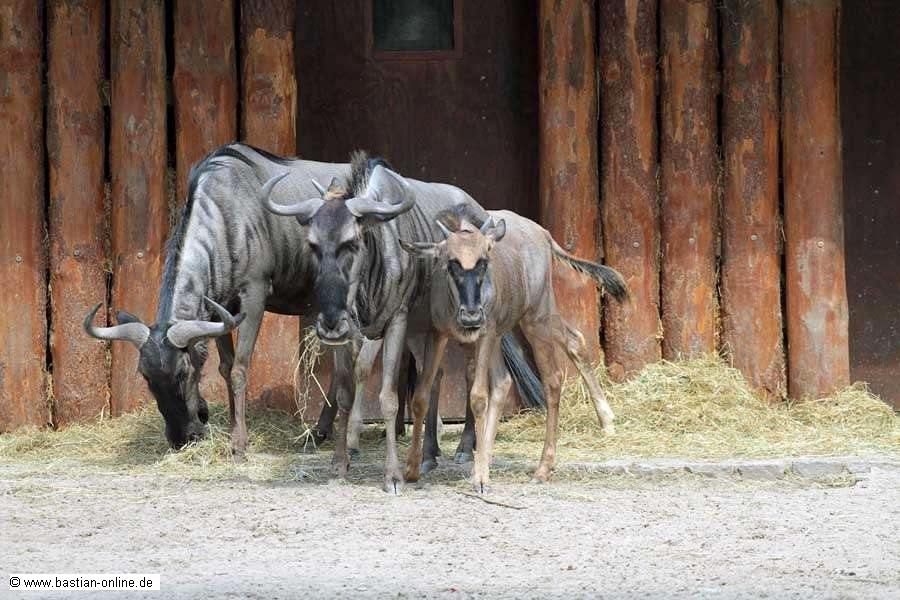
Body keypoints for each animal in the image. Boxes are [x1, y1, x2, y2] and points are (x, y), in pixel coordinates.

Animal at [400, 204, 628, 492]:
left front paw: (480, 476)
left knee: (553, 379)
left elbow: (478, 396)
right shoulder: (437, 333)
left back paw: (544, 467)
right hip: (513, 327)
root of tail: (542, 232)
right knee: (544, 357)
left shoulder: (485, 333)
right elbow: (421, 395)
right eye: (450, 263)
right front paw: (412, 468)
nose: (472, 316)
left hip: (535, 318)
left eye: (484, 261)